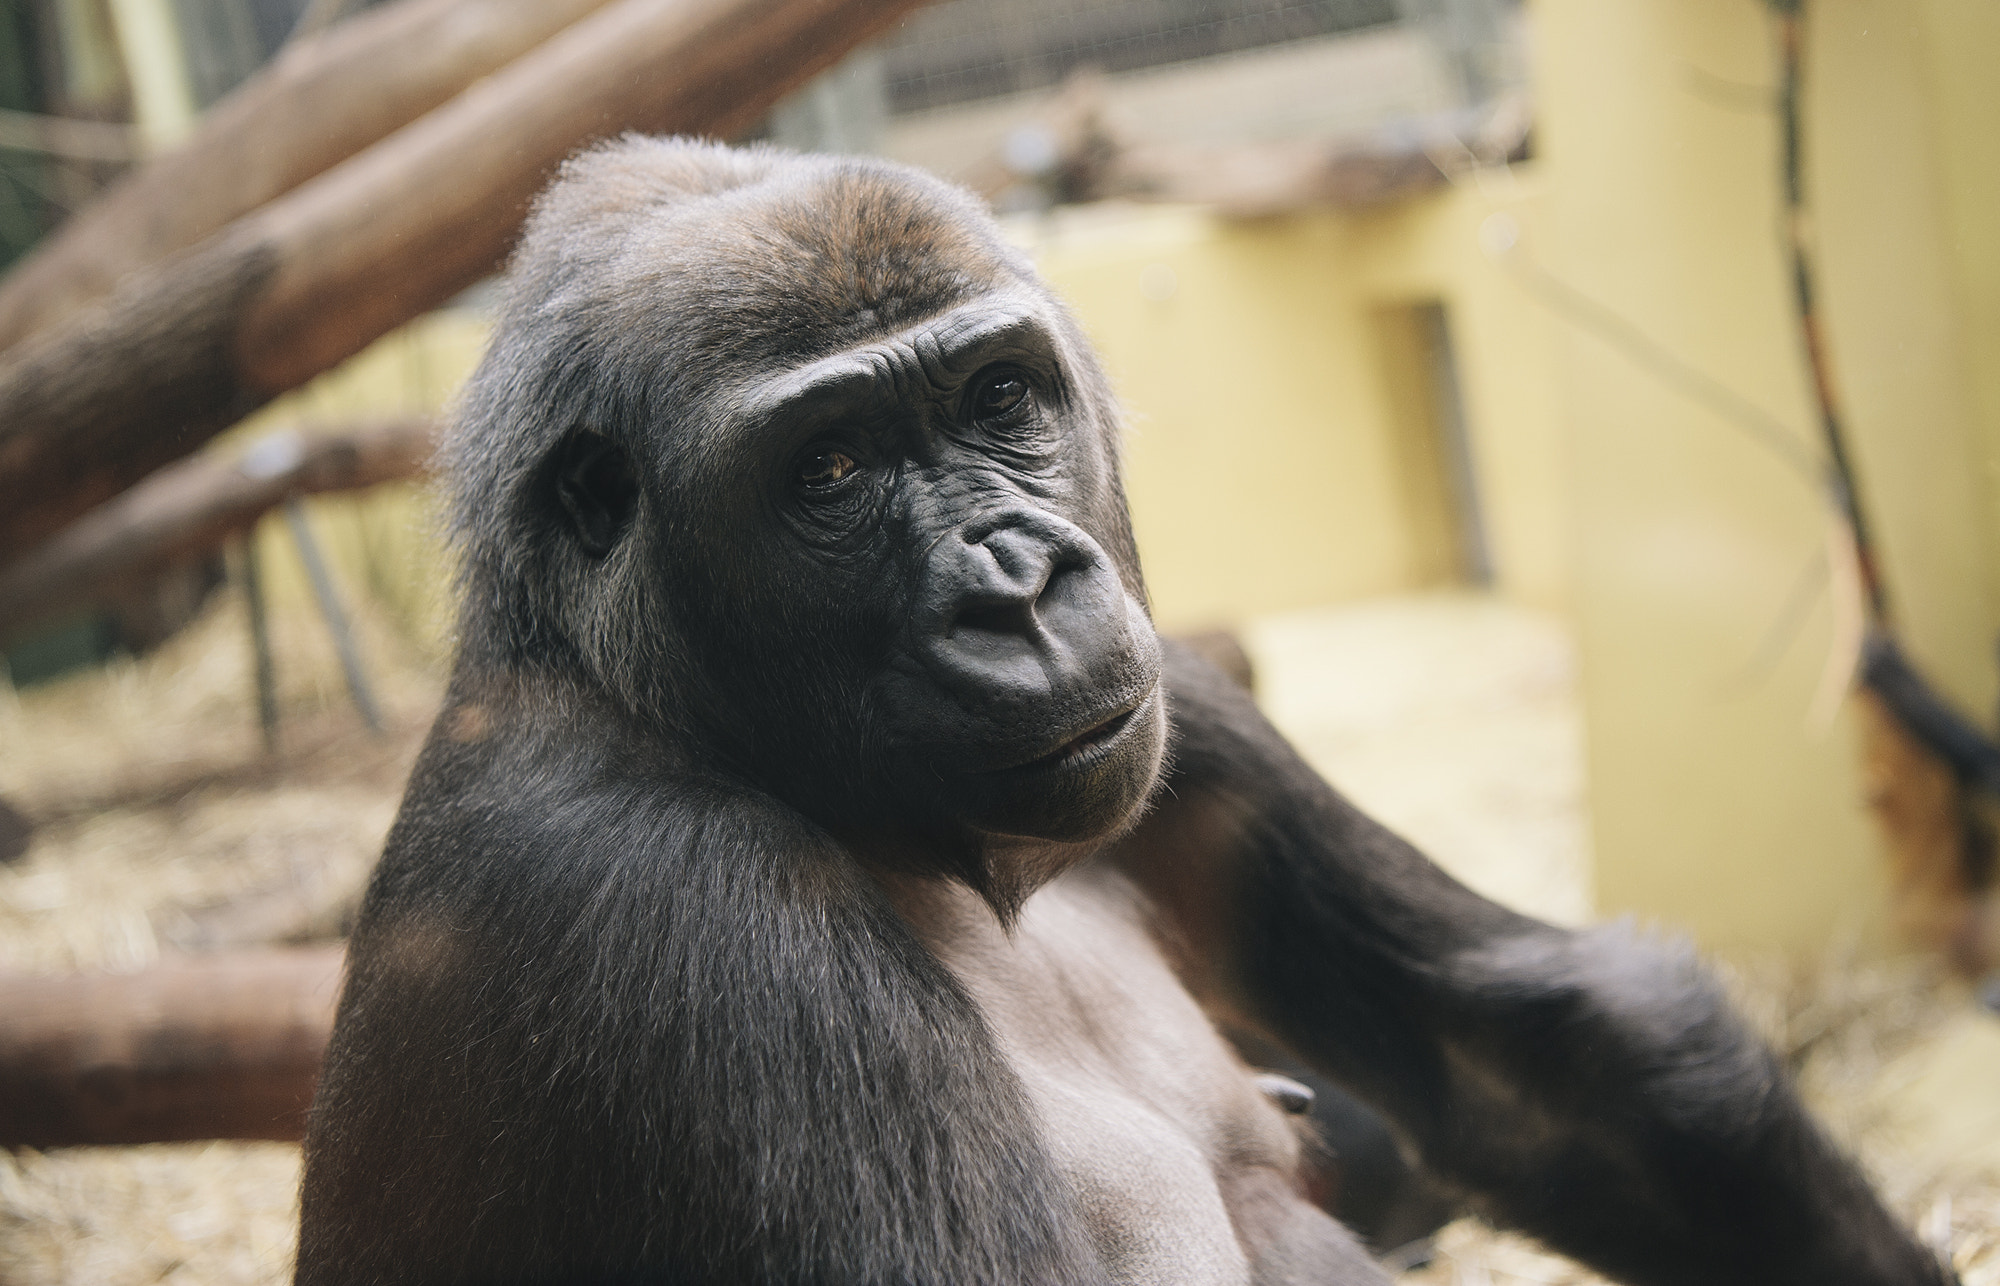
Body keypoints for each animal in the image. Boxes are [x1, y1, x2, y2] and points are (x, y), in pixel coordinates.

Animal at [295, 137, 1954, 1286]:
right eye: (829, 468)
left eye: (999, 397)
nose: (1021, 583)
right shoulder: (682, 905)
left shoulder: (1185, 711)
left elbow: (1552, 1062)